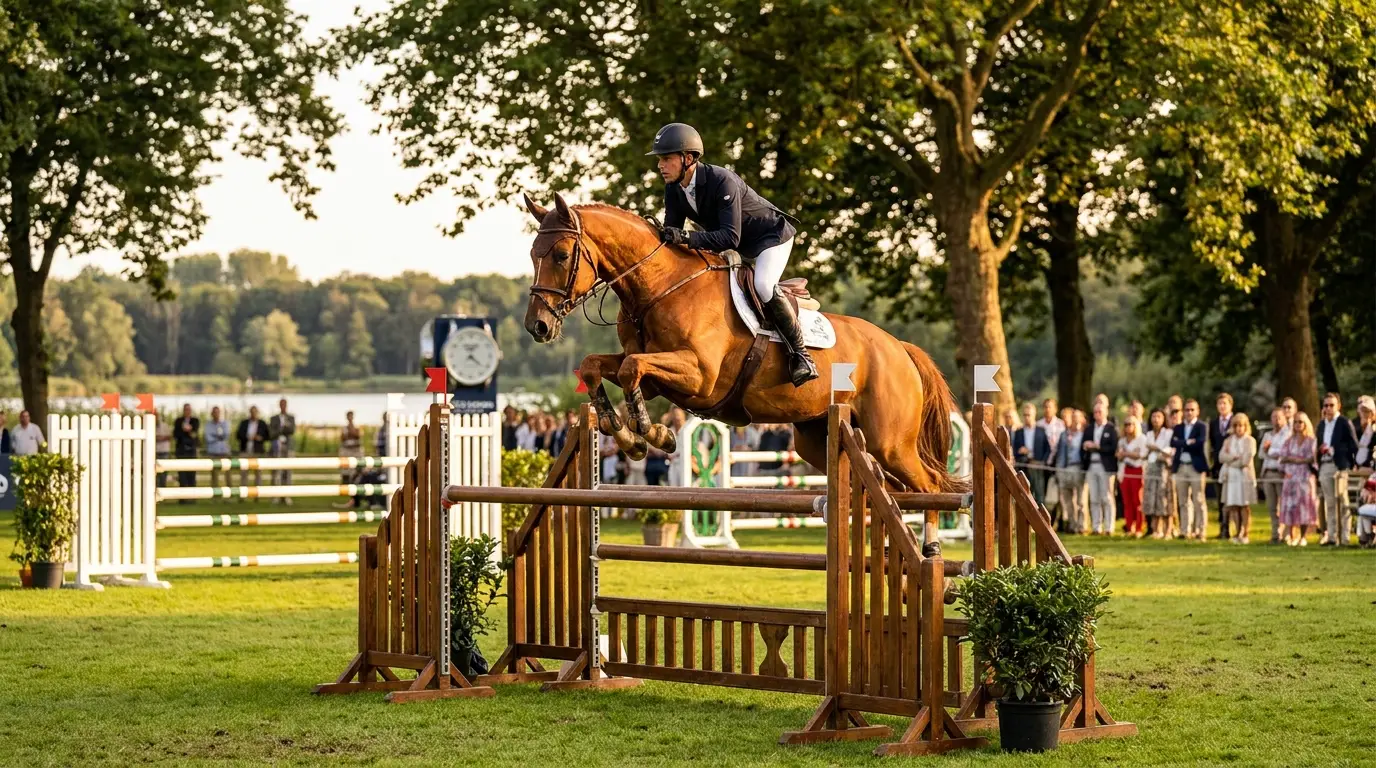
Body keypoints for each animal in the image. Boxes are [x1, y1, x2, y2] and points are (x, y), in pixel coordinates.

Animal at [521, 192, 963, 495]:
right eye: (531, 253)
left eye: (561, 255)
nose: (537, 326)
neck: (660, 287)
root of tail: (899, 348)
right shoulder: (655, 376)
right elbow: (595, 366)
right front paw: (626, 435)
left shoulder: (697, 375)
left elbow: (631, 370)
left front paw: (655, 434)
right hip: (816, 438)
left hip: (892, 443)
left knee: (928, 487)